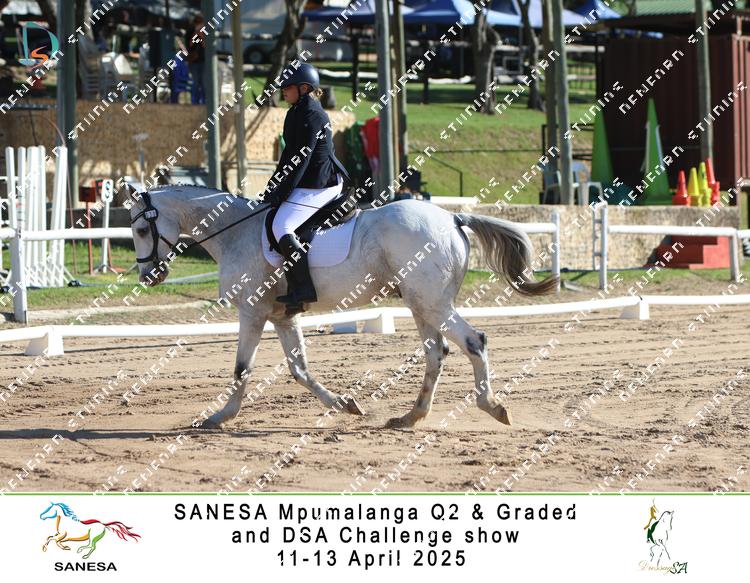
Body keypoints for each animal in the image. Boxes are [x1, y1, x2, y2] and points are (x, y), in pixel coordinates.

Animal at [126, 185, 557, 429]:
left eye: (142, 229)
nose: (148, 276)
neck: (236, 231)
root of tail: (452, 217)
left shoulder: (252, 312)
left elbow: (241, 368)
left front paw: (219, 418)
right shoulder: (282, 317)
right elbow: (299, 370)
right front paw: (346, 405)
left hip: (432, 302)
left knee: (473, 342)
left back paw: (492, 406)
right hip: (422, 304)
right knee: (437, 353)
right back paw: (410, 417)